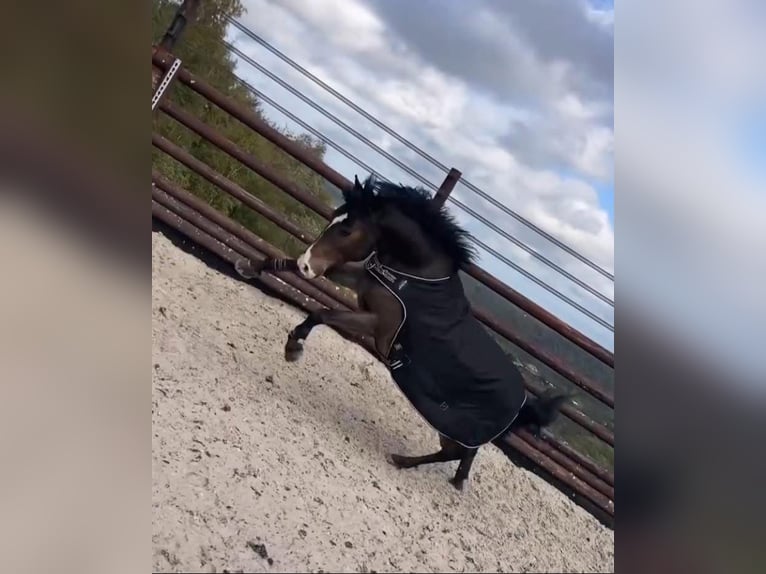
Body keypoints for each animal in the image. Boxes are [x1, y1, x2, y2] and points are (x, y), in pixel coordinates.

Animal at [235, 175, 568, 490]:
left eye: (347, 230)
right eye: (333, 218)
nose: (308, 266)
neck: (415, 276)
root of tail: (523, 403)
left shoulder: (378, 325)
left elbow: (322, 313)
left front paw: (293, 347)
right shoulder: (360, 280)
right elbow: (287, 265)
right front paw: (249, 266)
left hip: (453, 427)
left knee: (453, 452)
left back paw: (403, 461)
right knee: (465, 454)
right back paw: (456, 479)